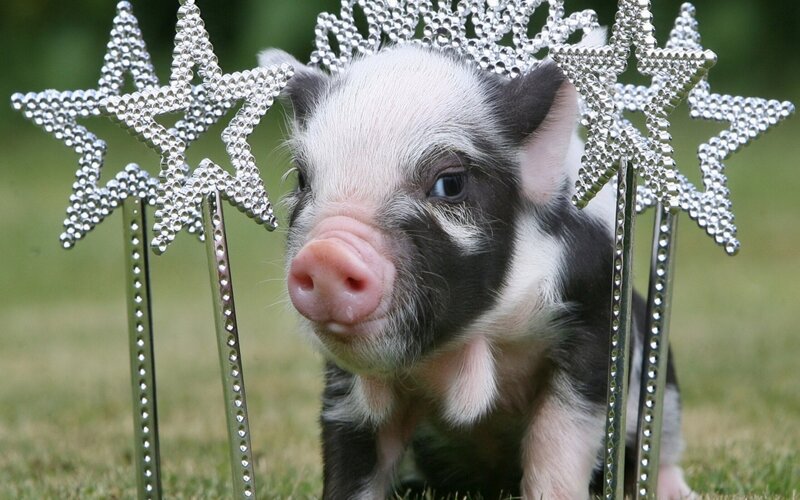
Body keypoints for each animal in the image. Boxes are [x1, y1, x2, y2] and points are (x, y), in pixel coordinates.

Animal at [259, 42, 693, 499]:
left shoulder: (593, 319)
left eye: (450, 184)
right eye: (303, 180)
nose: (325, 254)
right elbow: (352, 453)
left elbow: (559, 439)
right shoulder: (345, 380)